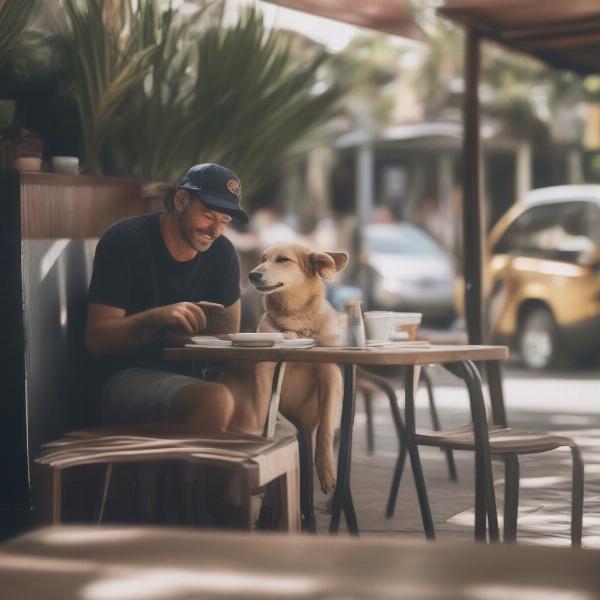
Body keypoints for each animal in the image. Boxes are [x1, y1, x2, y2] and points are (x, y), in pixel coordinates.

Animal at [248, 243, 350, 492]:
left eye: (283, 259)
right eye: (263, 259)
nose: (252, 275)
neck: (296, 320)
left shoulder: (330, 372)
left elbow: (324, 430)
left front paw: (326, 471)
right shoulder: (264, 367)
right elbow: (261, 403)